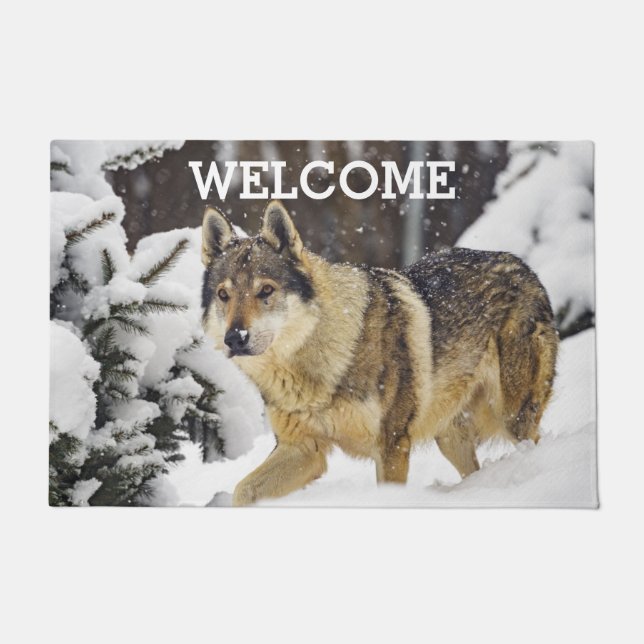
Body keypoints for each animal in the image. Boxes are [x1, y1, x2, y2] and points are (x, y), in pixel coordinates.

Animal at [201, 200, 559, 506]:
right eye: (223, 295)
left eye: (266, 290)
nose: (235, 338)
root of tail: (524, 266)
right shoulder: (303, 449)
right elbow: (242, 490)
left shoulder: (392, 444)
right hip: (451, 437)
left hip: (513, 418)